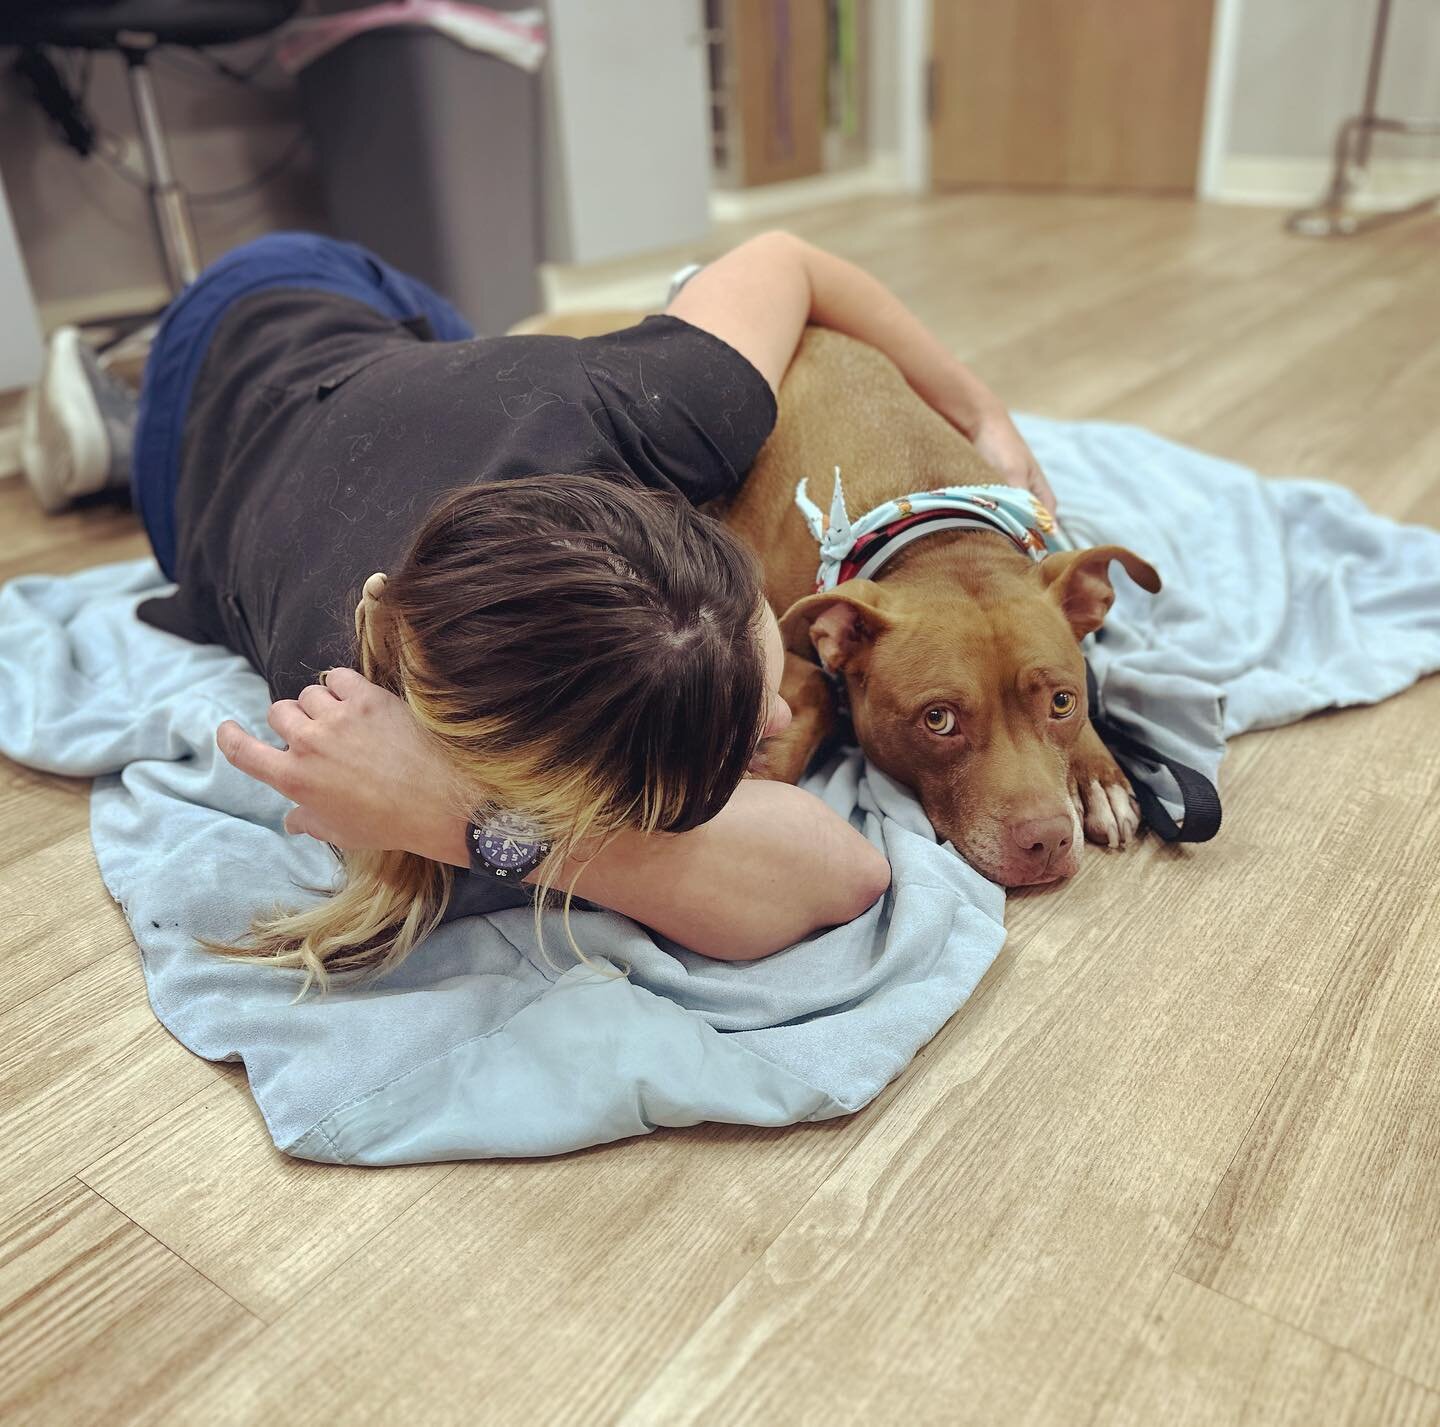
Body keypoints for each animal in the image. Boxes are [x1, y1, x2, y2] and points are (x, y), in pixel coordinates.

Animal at [509, 318, 1157, 887]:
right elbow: (816, 686)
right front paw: (768, 760)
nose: (1046, 839)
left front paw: (1097, 773)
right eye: (938, 720)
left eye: (1062, 702)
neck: (933, 537)